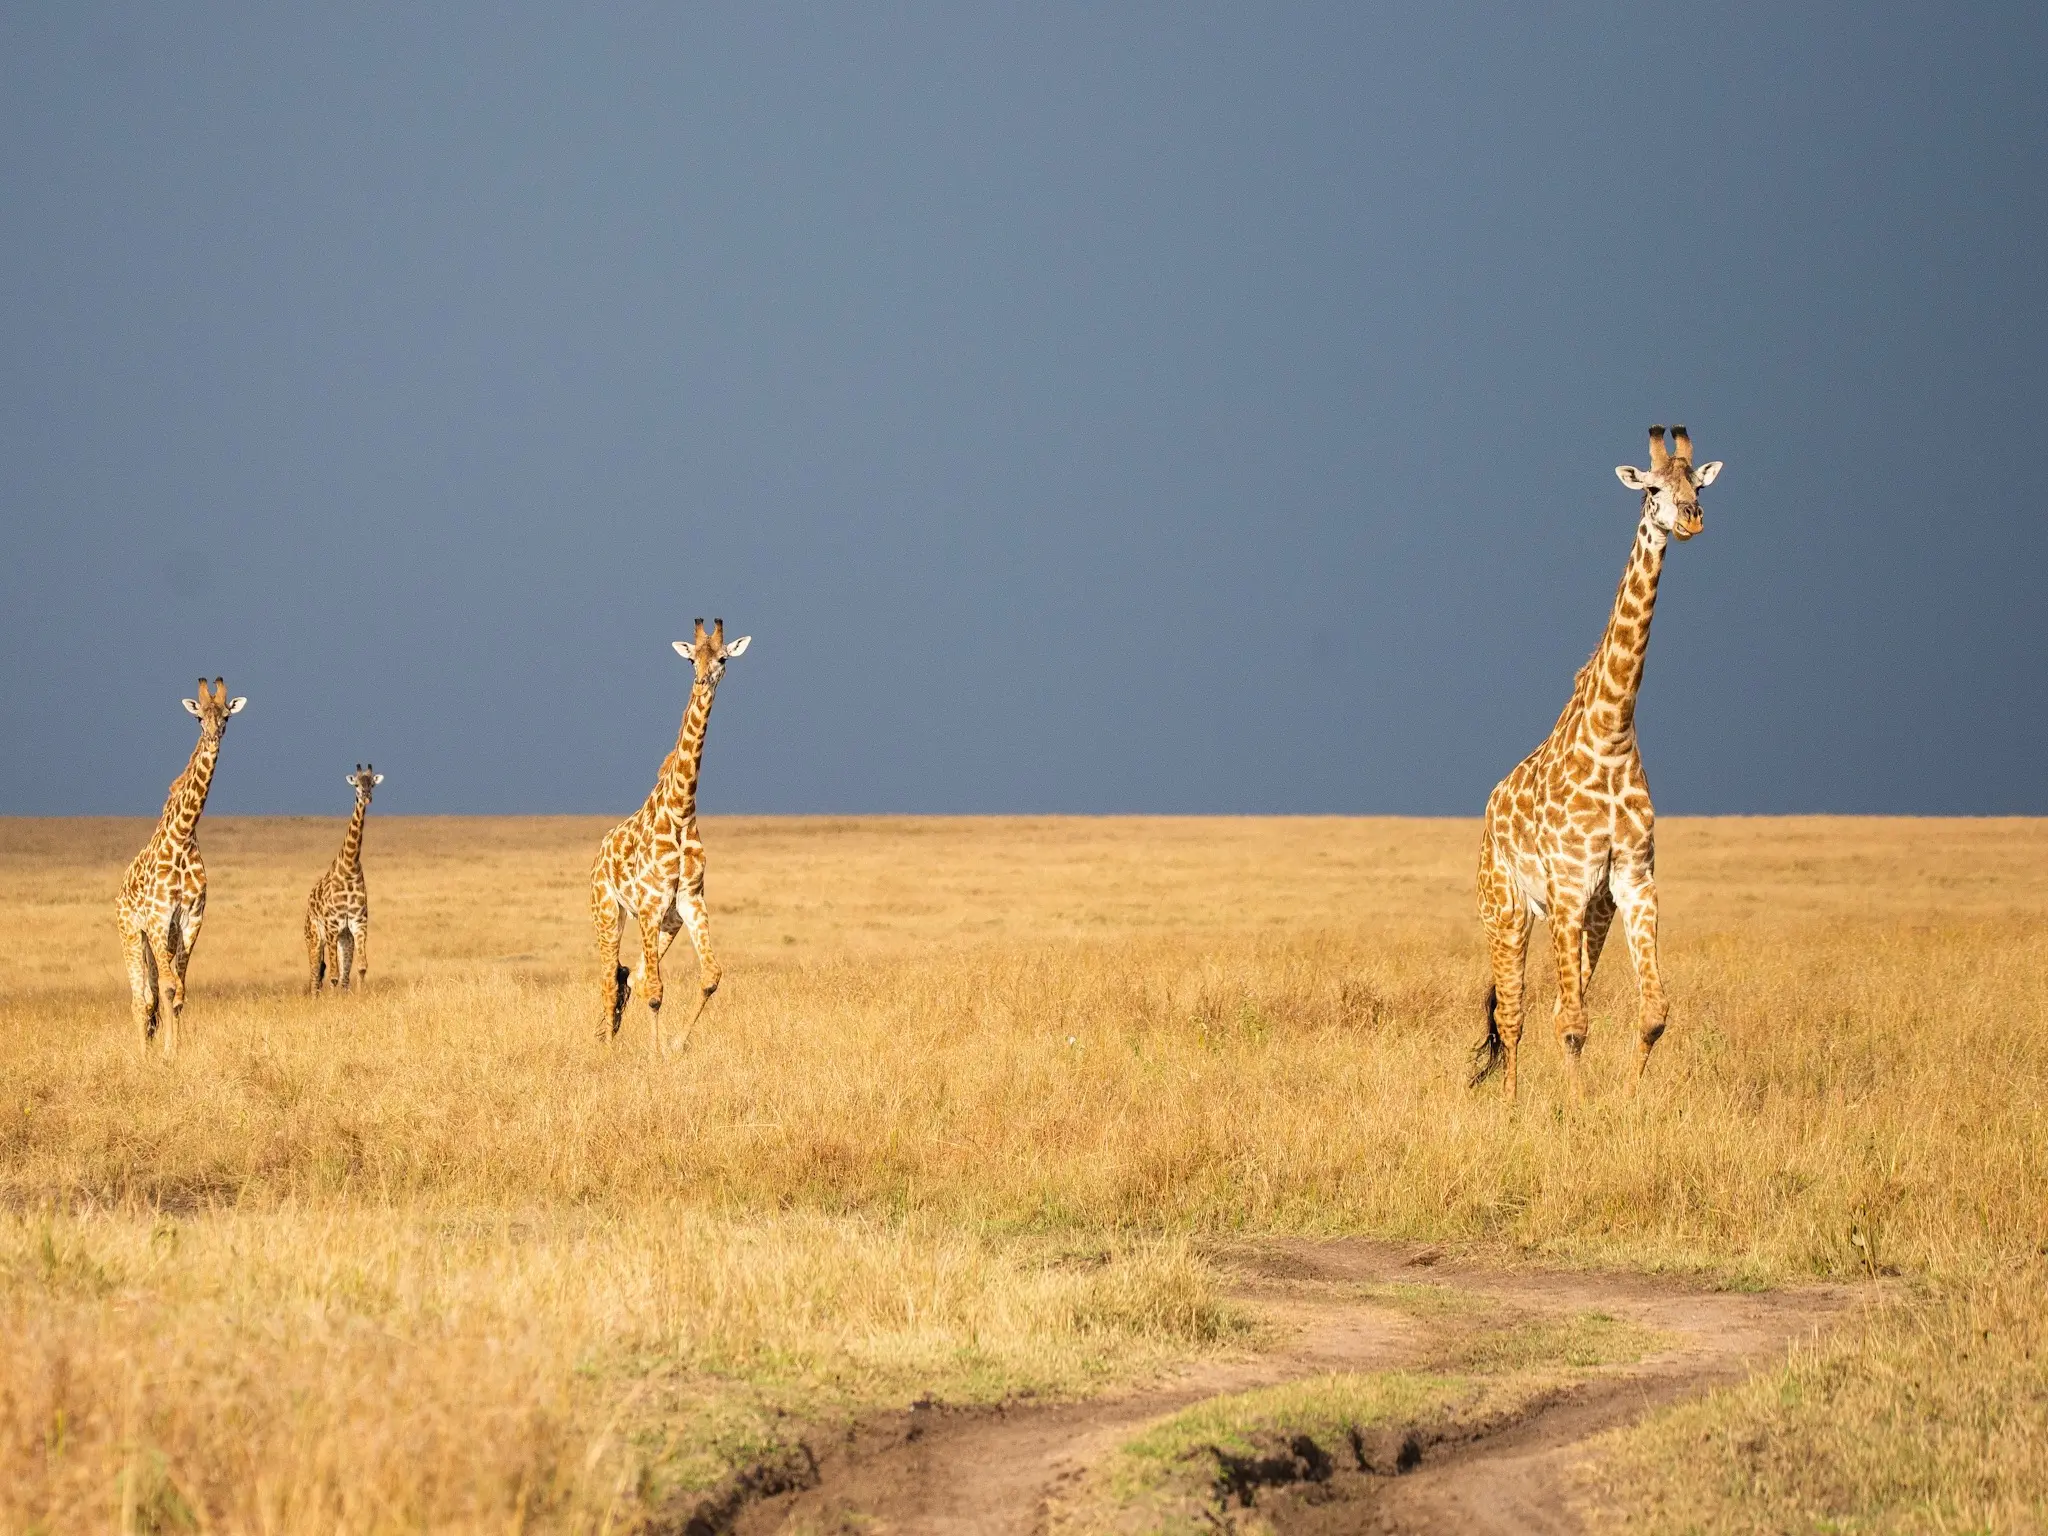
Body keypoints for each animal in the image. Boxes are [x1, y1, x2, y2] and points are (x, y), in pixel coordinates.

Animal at [117, 678, 247, 1057]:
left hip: (159, 937)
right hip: (132, 932)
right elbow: (169, 987)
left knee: (152, 994)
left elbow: (179, 992)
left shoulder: (190, 919)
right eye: (198, 718)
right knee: (139, 997)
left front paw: (175, 1051)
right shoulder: (159, 919)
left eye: (226, 717)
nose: (214, 737)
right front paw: (166, 1054)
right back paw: (142, 1056)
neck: (183, 834)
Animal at [305, 764, 382, 994]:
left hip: (344, 938)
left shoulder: (358, 923)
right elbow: (332, 975)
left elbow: (361, 967)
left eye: (372, 783)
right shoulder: (332, 925)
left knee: (342, 974)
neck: (350, 866)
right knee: (315, 975)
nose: (366, 796)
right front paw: (334, 1000)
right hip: (314, 937)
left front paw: (358, 996)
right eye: (356, 784)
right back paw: (316, 997)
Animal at [590, 618, 752, 1054]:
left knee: (630, 974)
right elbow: (656, 991)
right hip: (608, 912)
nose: (702, 680)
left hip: (668, 922)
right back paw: (606, 1047)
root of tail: (599, 855)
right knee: (610, 976)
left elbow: (710, 976)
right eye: (691, 659)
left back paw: (608, 1033)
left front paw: (675, 1045)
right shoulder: (649, 904)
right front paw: (656, 1052)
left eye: (723, 658)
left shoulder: (689, 901)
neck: (680, 811)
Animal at [1472, 426, 1722, 1099]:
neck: (1610, 736)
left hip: (1592, 912)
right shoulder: (1566, 882)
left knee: (1556, 999)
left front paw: (1628, 1100)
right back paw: (1510, 1104)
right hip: (1505, 905)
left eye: (1698, 484)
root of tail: (1490, 805)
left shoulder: (1632, 881)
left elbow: (1652, 1011)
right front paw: (1575, 1105)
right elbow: (1570, 1020)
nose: (1691, 518)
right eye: (1653, 489)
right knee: (1513, 1013)